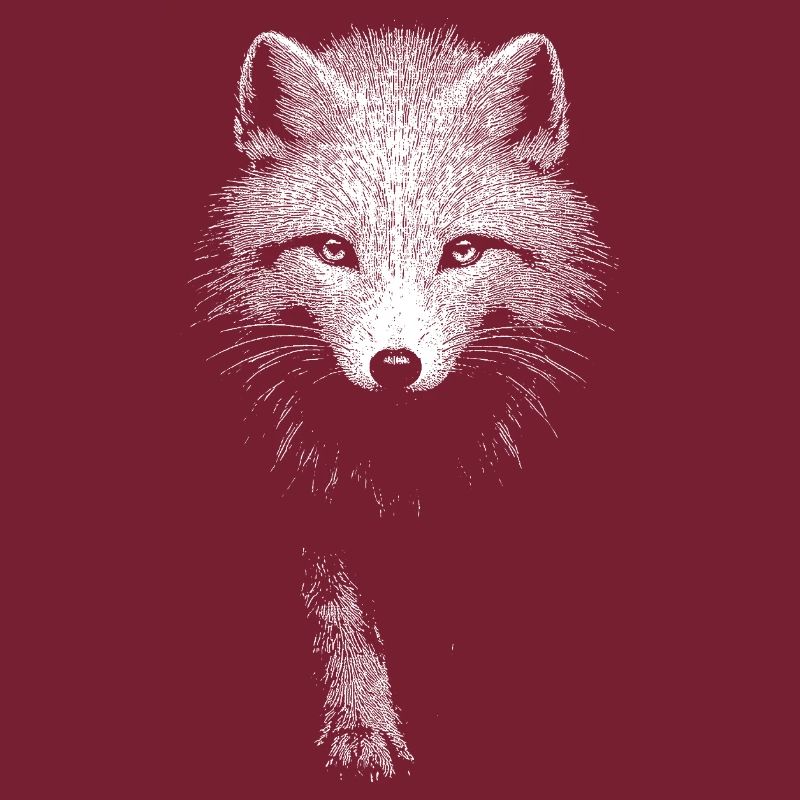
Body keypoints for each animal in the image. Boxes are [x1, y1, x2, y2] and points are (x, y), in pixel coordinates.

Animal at [195, 27, 610, 781]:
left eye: (464, 251)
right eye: (333, 250)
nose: (394, 366)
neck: (400, 475)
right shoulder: (301, 503)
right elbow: (340, 626)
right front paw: (361, 726)